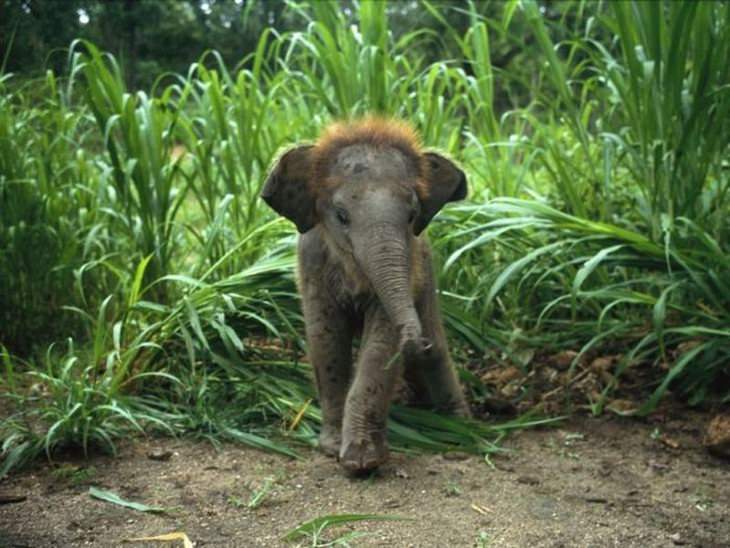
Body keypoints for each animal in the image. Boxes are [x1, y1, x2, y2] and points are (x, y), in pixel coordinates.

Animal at [258, 117, 470, 474]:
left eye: (412, 216)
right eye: (342, 216)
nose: (417, 340)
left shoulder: (410, 264)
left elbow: (381, 345)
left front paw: (362, 462)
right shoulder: (311, 263)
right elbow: (326, 338)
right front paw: (333, 448)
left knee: (437, 354)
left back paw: (459, 427)